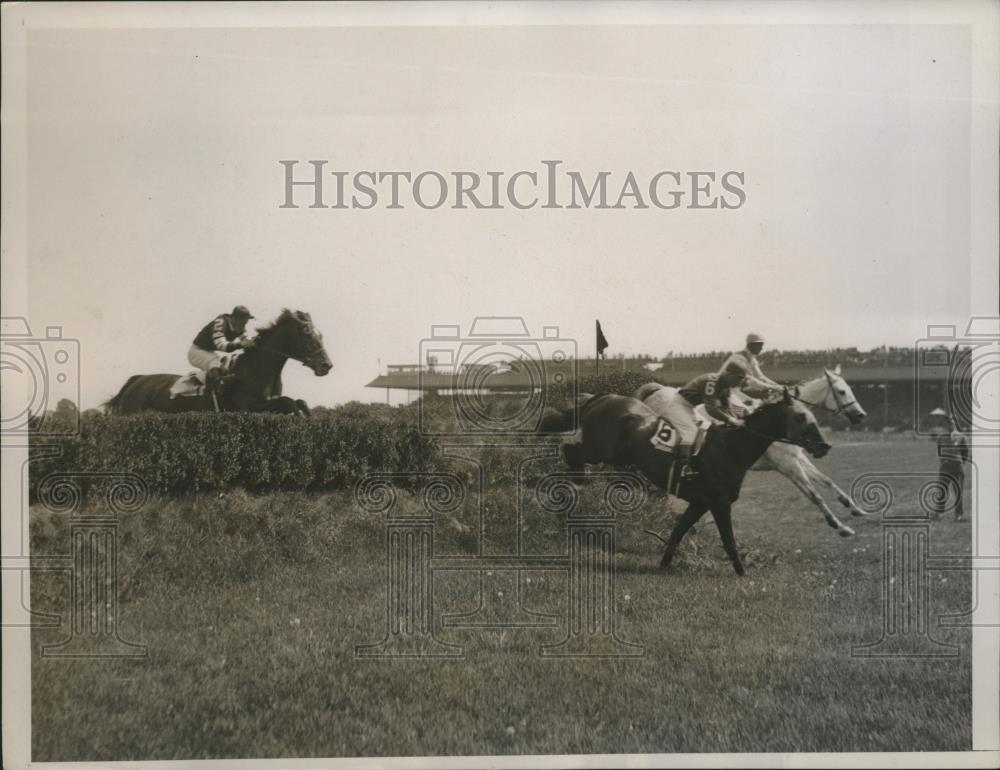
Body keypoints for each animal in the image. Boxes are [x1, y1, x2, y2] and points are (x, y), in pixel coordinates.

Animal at [104, 308, 332, 414]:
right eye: (308, 337)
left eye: (321, 336)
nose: (327, 365)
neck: (258, 370)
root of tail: (137, 380)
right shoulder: (247, 407)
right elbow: (288, 402)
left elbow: (298, 401)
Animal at [564, 390, 828, 576]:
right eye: (801, 416)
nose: (824, 446)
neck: (731, 449)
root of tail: (605, 397)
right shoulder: (720, 503)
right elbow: (729, 540)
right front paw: (741, 572)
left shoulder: (700, 503)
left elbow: (678, 532)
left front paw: (664, 564)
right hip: (599, 450)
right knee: (569, 449)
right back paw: (577, 479)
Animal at [636, 364, 872, 536]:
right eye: (842, 391)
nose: (861, 415)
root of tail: (656, 390)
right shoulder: (788, 466)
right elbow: (814, 495)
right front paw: (840, 526)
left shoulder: (798, 459)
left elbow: (826, 480)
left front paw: (855, 507)